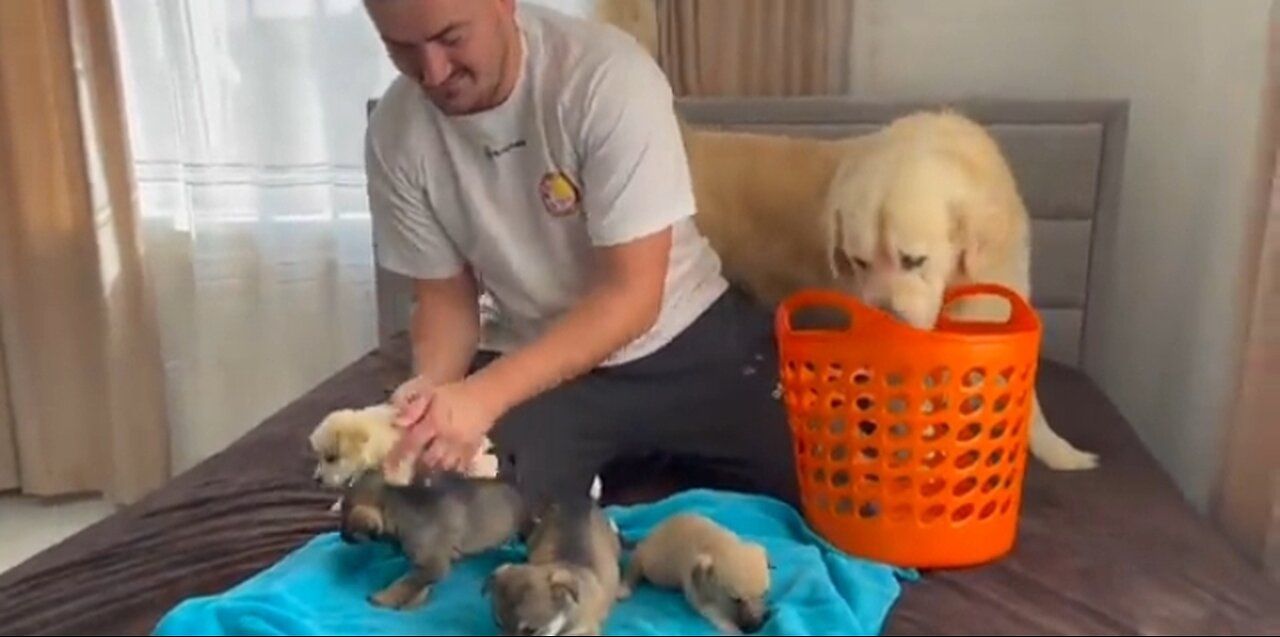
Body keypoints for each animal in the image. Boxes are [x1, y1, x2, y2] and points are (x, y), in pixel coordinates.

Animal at [337, 470, 527, 608]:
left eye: (345, 521)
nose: (341, 536)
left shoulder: (432, 565)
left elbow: (404, 583)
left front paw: (385, 598)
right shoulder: (426, 567)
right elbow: (417, 585)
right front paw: (415, 601)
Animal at [619, 514, 768, 634]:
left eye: (764, 594)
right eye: (736, 599)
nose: (756, 626)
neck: (717, 546)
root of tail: (649, 537)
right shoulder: (695, 581)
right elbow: (708, 607)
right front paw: (730, 626)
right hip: (653, 563)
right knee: (638, 558)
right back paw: (625, 586)